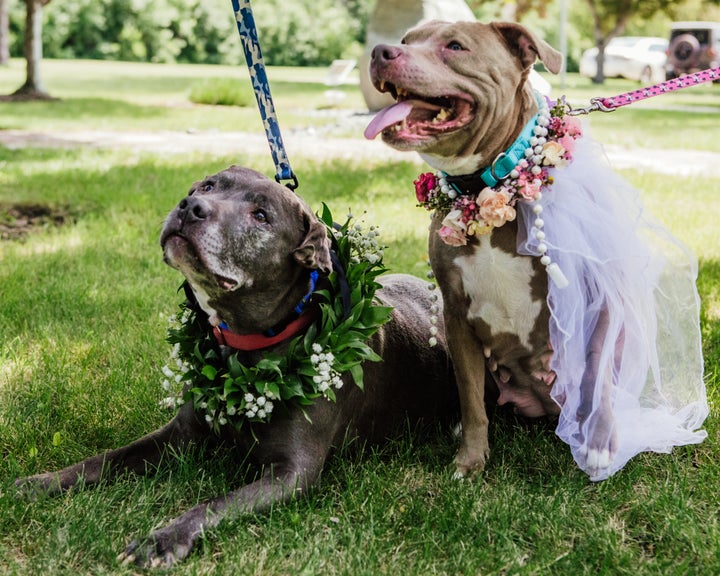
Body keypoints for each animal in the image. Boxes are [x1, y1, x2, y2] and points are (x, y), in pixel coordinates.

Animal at [15, 165, 456, 568]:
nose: (191, 206)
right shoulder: (179, 433)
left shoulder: (292, 473)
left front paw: (163, 539)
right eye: (208, 186)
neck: (247, 345)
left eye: (261, 215)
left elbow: (214, 503)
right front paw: (43, 482)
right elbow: (107, 458)